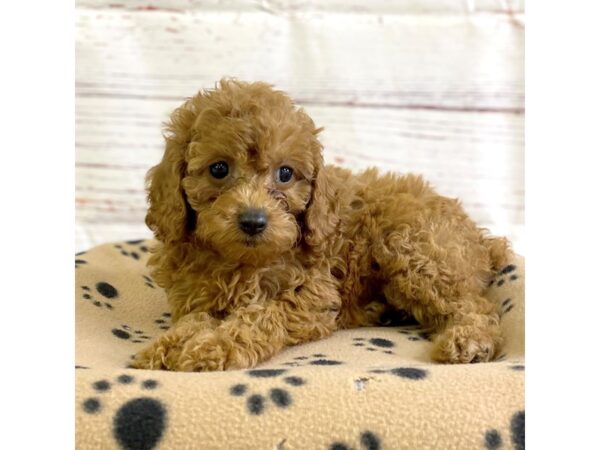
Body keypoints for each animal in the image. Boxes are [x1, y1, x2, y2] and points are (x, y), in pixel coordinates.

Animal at [131, 79, 510, 370]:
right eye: (219, 169)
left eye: (285, 174)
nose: (253, 221)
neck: (242, 261)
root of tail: (479, 238)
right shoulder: (197, 298)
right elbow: (194, 320)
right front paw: (166, 346)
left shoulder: (311, 297)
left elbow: (261, 318)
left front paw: (212, 347)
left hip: (413, 249)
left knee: (474, 306)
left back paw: (468, 341)